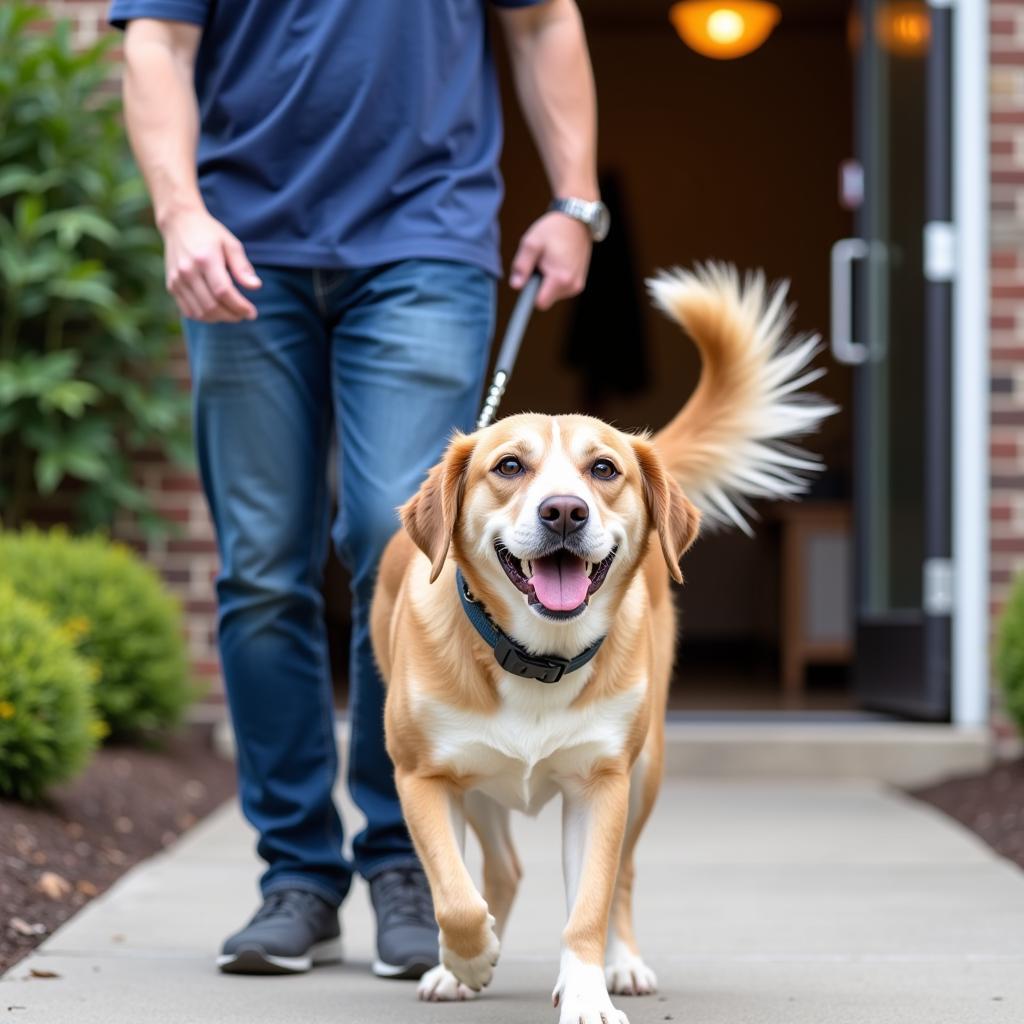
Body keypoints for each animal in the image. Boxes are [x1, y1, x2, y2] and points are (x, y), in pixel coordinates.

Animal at [372, 266, 835, 1024]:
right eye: (508, 466)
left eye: (604, 470)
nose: (564, 511)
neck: (536, 656)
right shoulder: (422, 778)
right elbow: (454, 893)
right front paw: (466, 958)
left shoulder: (601, 784)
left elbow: (586, 904)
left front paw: (587, 992)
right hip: (478, 784)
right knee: (497, 871)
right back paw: (463, 968)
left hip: (645, 772)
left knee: (619, 878)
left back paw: (621, 963)